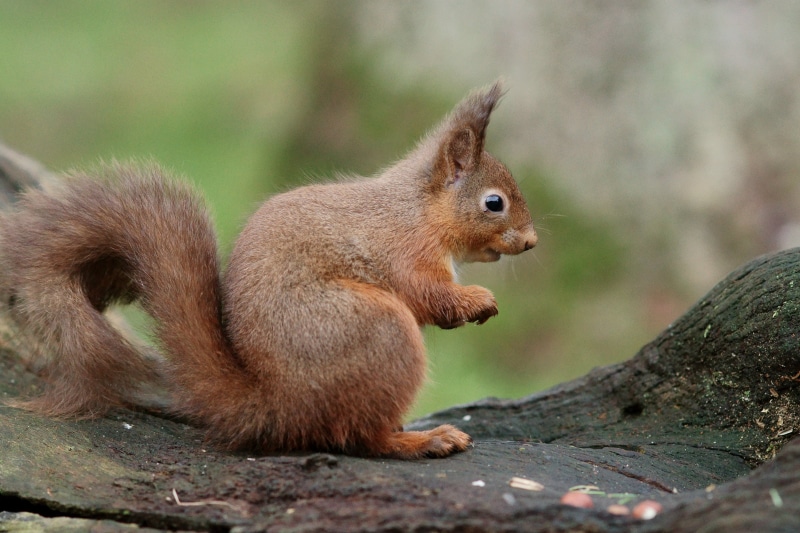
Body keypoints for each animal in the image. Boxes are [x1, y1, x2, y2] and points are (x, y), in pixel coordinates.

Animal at [0, 81, 537, 459]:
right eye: (494, 203)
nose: (532, 242)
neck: (419, 210)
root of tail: (276, 406)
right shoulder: (404, 253)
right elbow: (429, 295)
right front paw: (480, 301)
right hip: (379, 332)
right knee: (359, 437)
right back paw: (422, 440)